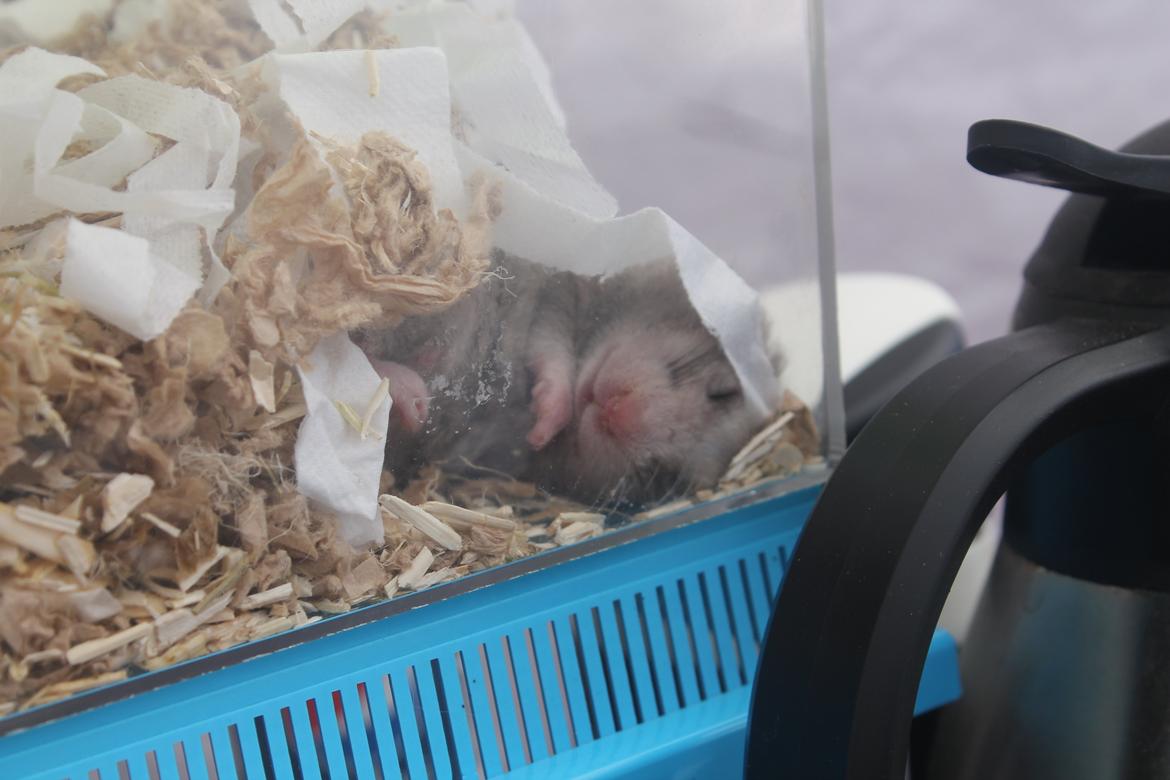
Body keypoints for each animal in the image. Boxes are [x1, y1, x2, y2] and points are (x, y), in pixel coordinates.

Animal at [352, 251, 779, 508]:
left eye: (663, 478)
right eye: (723, 391)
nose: (615, 411)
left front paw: (541, 430)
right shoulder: (554, 292)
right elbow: (552, 350)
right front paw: (546, 422)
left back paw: (408, 397)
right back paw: (410, 392)